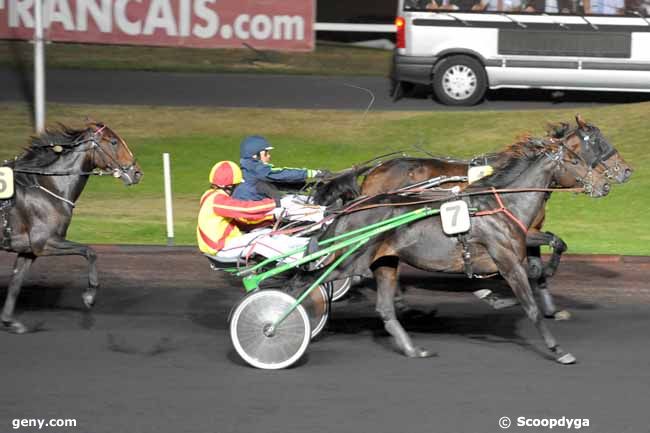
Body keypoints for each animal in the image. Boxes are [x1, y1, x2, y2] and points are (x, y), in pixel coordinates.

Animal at [0, 122, 142, 334]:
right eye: (114, 142)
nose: (137, 173)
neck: (48, 187)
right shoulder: (46, 242)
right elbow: (89, 251)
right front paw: (90, 295)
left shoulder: (28, 250)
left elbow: (16, 283)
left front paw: (10, 321)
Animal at [302, 136, 612, 364]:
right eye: (576, 159)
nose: (606, 183)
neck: (503, 204)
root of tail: (352, 208)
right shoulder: (508, 263)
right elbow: (531, 307)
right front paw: (557, 350)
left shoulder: (524, 237)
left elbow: (555, 243)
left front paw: (544, 274)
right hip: (349, 260)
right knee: (308, 281)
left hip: (385, 261)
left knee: (385, 308)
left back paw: (413, 348)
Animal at [356, 115, 632, 318]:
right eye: (597, 141)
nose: (626, 171)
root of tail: (373, 172)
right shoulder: (520, 232)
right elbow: (539, 258)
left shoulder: (524, 232)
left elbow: (539, 264)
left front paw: (550, 308)